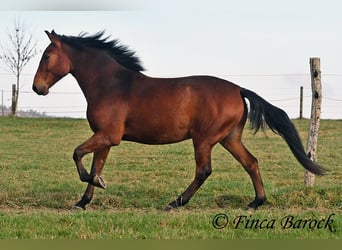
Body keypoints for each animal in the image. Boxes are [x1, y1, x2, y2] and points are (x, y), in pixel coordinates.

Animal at [32, 30, 326, 211]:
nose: (37, 88)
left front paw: (93, 186)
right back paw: (256, 203)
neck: (111, 85)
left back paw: (176, 202)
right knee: (251, 163)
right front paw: (83, 200)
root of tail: (238, 89)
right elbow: (95, 167)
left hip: (204, 139)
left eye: (46, 56)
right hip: (229, 138)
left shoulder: (108, 136)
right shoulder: (104, 138)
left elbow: (78, 155)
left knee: (204, 171)